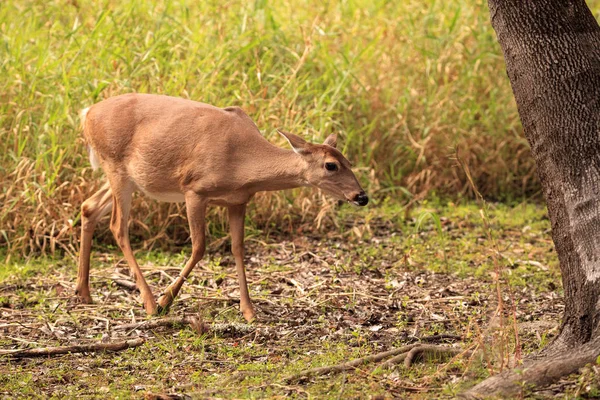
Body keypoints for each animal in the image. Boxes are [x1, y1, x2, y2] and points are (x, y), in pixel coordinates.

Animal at [75, 93, 366, 322]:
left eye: (349, 161)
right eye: (331, 165)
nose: (361, 196)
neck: (241, 162)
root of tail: (87, 113)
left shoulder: (238, 201)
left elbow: (238, 248)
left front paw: (249, 311)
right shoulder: (194, 190)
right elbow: (199, 247)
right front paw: (166, 300)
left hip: (127, 179)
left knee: (89, 207)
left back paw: (84, 292)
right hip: (116, 169)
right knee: (117, 226)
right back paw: (148, 302)